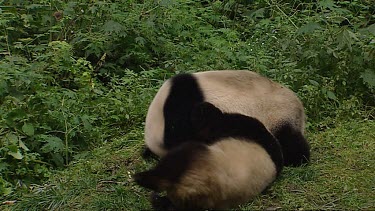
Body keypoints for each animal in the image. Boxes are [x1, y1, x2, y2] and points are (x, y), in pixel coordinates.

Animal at [135, 102, 284, 209]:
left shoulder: (236, 126)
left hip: (201, 159)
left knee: (176, 161)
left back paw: (143, 178)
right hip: (193, 200)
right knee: (175, 205)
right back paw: (158, 199)